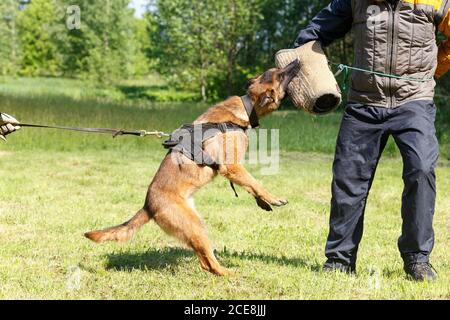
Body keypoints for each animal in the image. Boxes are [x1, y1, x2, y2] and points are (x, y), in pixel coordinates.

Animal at [85, 60, 300, 276]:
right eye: (280, 74)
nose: (297, 62)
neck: (246, 108)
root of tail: (148, 205)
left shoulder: (235, 170)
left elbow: (250, 184)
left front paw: (263, 202)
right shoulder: (232, 166)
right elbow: (255, 183)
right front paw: (274, 198)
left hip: (194, 223)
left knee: (203, 259)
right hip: (194, 225)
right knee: (208, 262)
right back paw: (228, 272)